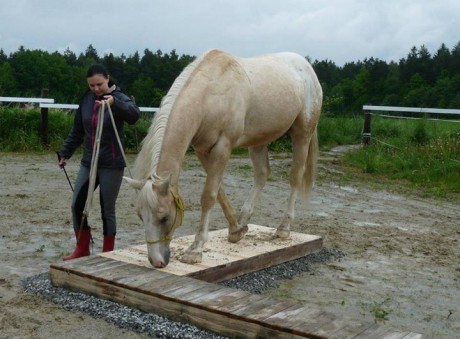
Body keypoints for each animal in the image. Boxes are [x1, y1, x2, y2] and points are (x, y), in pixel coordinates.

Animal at [124, 49, 322, 270]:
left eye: (164, 217)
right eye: (141, 216)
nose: (156, 262)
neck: (209, 95)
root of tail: (306, 66)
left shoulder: (223, 147)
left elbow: (208, 196)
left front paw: (195, 251)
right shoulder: (203, 150)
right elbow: (219, 192)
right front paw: (236, 231)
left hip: (302, 133)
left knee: (295, 176)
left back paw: (283, 228)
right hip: (259, 140)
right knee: (262, 174)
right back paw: (243, 219)